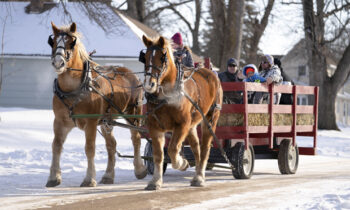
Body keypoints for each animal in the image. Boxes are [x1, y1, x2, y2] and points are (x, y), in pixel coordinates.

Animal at [46, 22, 146, 188]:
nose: (58, 62)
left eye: (71, 43)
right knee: (111, 145)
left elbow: (89, 148)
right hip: (107, 121)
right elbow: (56, 146)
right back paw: (108, 176)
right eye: (52, 42)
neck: (74, 90)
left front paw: (89, 179)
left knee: (136, 138)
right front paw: (54, 177)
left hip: (133, 113)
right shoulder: (60, 121)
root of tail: (133, 75)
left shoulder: (91, 122)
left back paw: (139, 170)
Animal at [142, 35, 221, 189]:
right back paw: (196, 174)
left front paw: (182, 163)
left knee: (205, 148)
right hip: (192, 125)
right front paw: (155, 181)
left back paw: (200, 177)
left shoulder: (182, 125)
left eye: (162, 57)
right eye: (146, 56)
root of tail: (209, 71)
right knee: (196, 148)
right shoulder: (154, 127)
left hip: (210, 119)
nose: (149, 84)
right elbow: (158, 155)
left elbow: (172, 149)